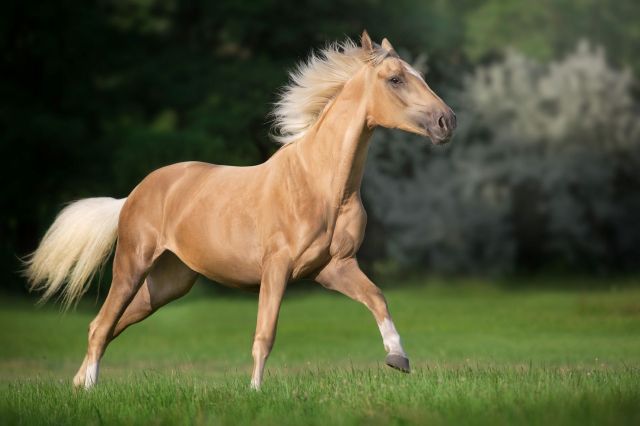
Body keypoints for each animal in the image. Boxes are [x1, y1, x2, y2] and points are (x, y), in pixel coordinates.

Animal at [25, 31, 456, 390]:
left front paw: (398, 358)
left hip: (168, 284)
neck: (321, 186)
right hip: (132, 266)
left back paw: (79, 383)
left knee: (111, 325)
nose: (446, 121)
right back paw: (88, 387)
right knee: (101, 325)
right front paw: (255, 391)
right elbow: (265, 333)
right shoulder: (277, 267)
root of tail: (131, 196)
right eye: (395, 79)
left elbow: (377, 298)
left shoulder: (334, 268)